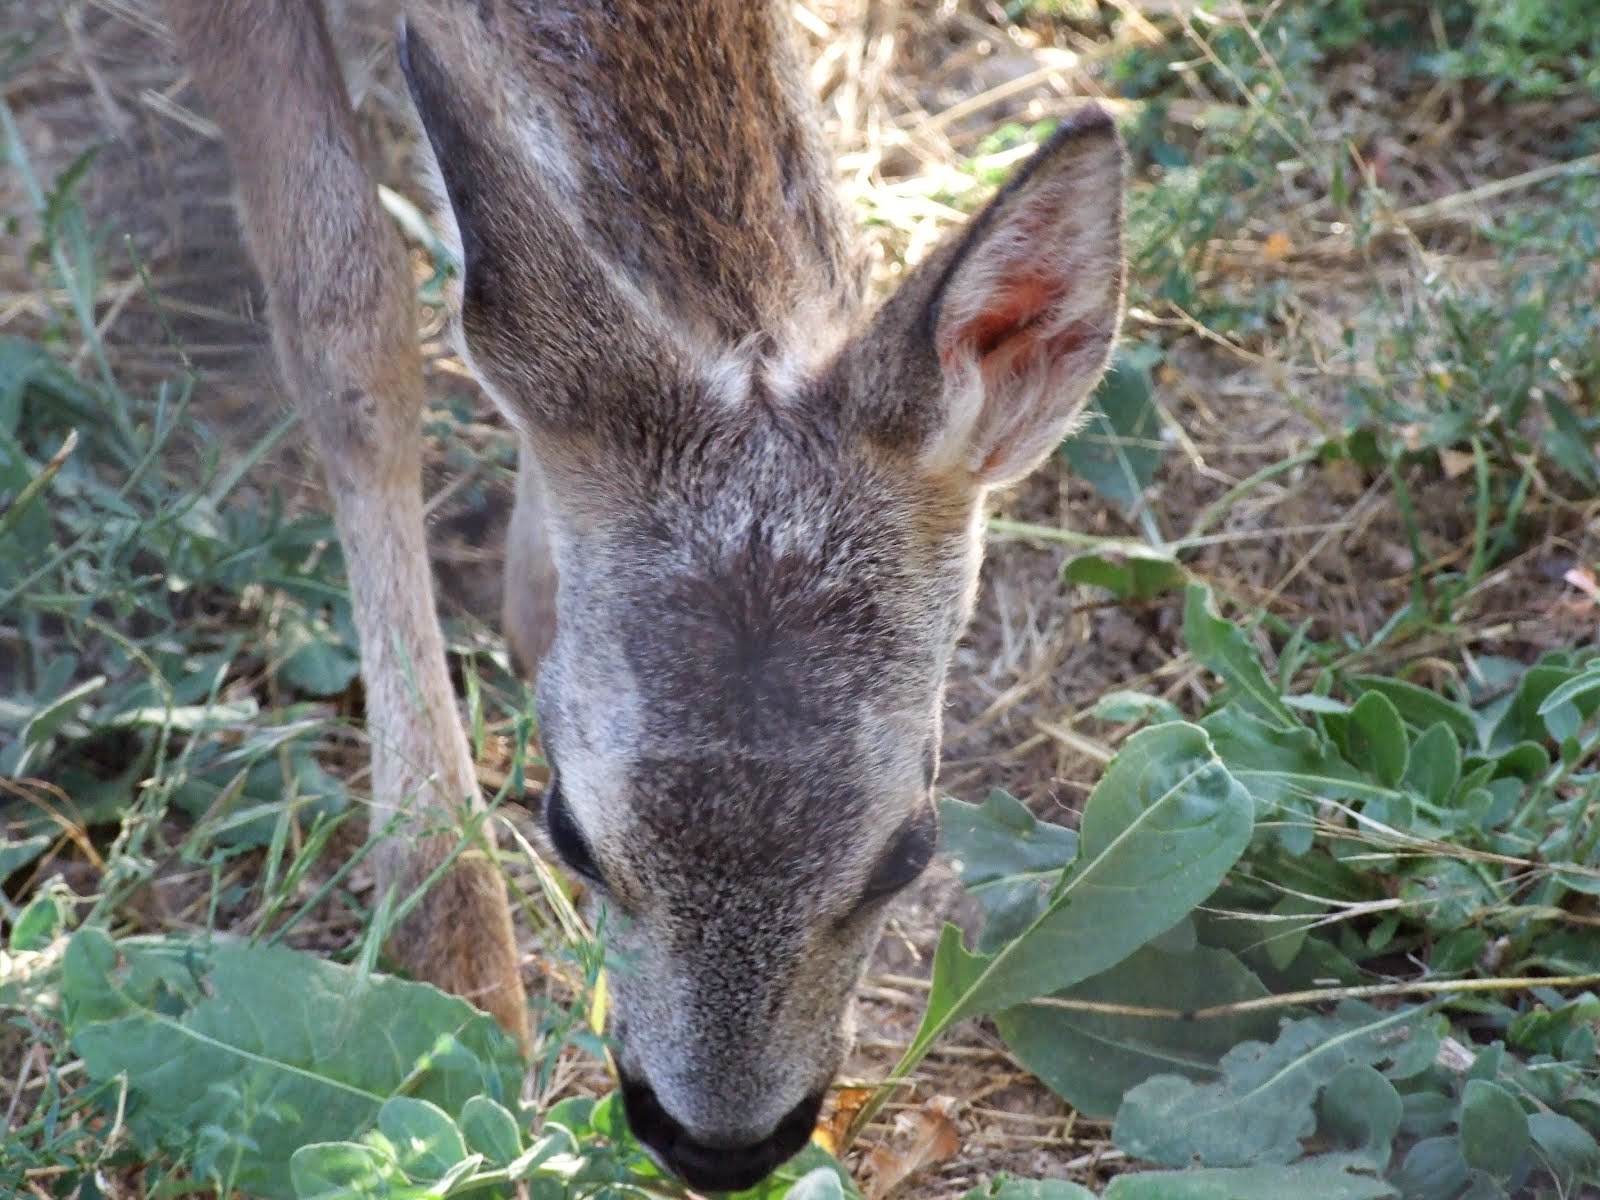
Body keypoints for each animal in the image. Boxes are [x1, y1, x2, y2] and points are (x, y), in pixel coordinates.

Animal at [156, 2, 1120, 1196]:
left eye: (910, 848)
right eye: (568, 831)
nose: (718, 1145)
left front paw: (530, 603)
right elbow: (349, 323)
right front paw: (447, 939)